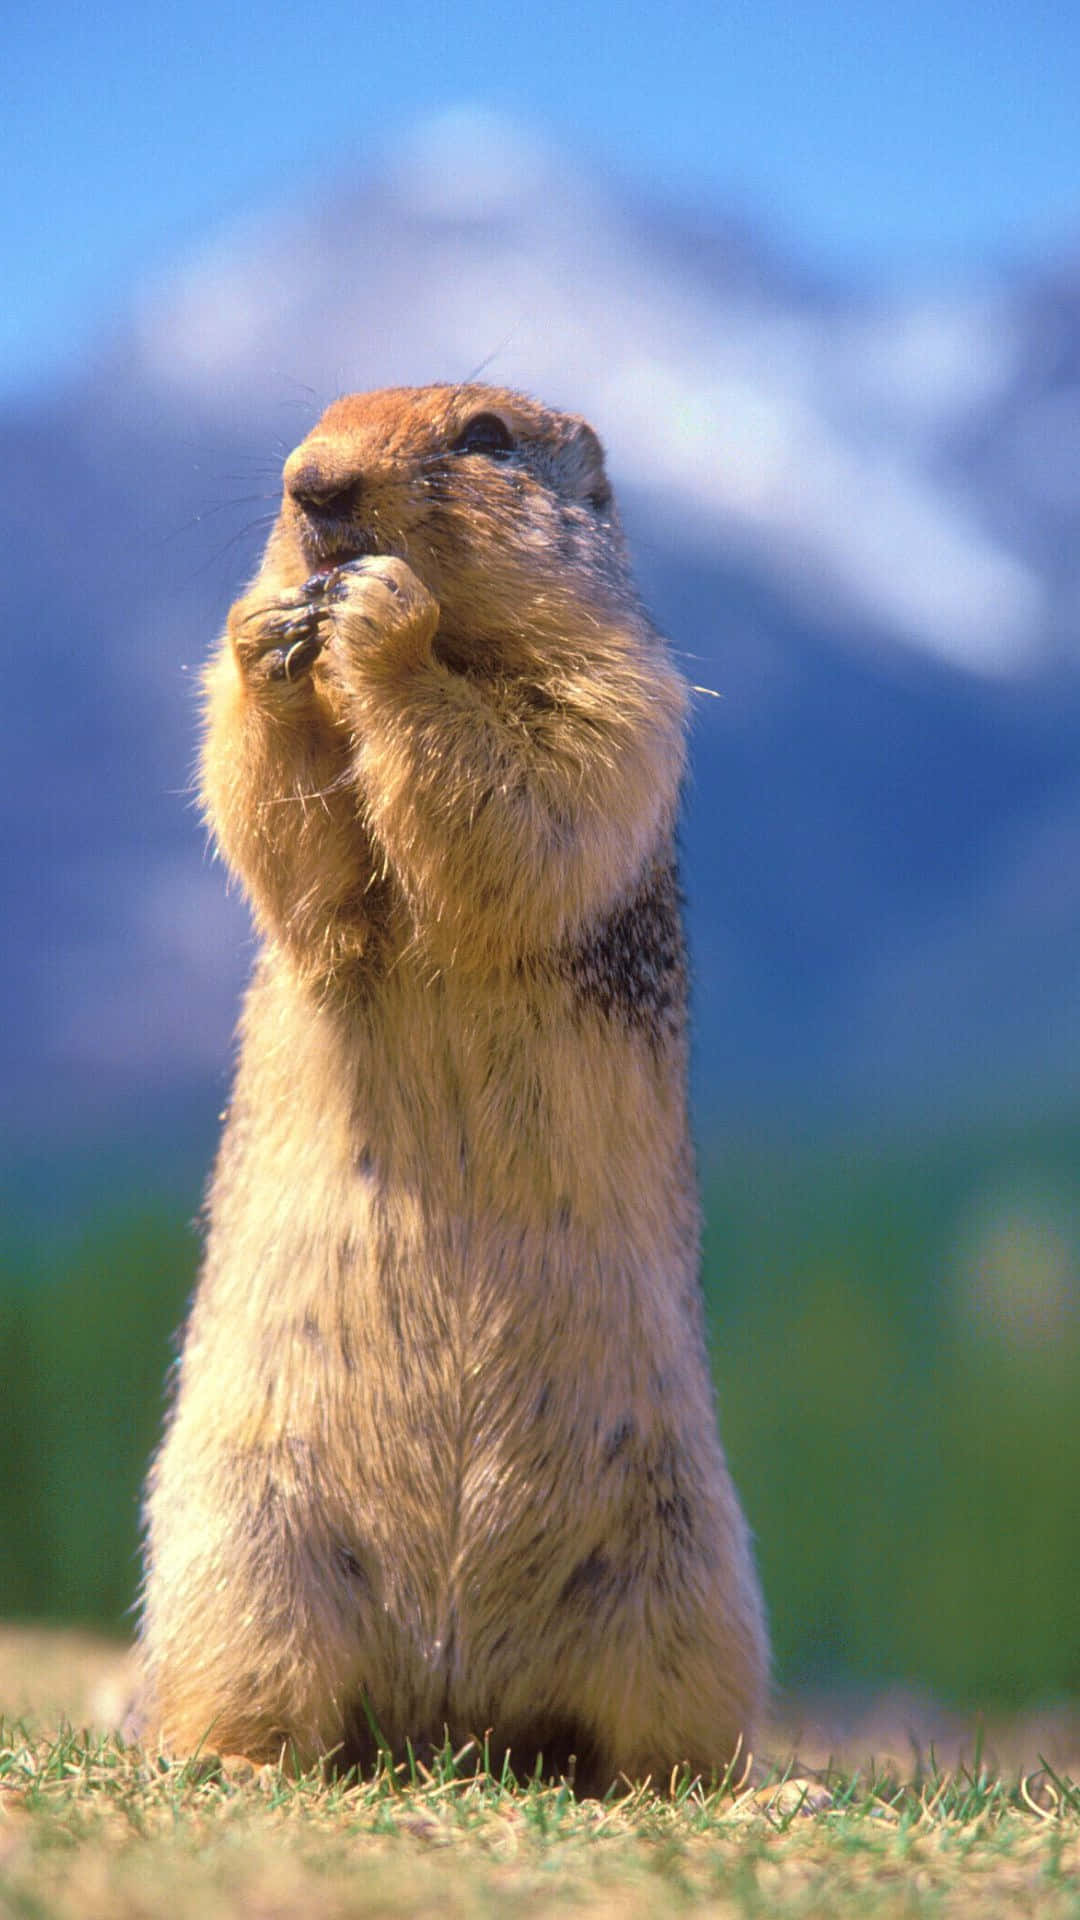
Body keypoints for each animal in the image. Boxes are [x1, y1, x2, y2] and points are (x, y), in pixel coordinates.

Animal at [138, 382, 764, 1789]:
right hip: (236, 1550)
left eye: (484, 436)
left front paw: (381, 621)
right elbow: (295, 847)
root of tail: (451, 1711)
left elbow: (539, 785)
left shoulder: (619, 684)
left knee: (657, 1743)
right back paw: (229, 1760)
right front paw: (270, 631)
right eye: (312, 419)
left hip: (687, 1574)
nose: (308, 483)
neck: (471, 643)